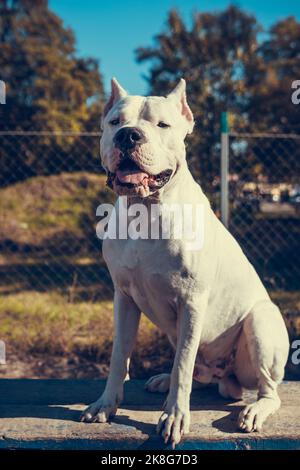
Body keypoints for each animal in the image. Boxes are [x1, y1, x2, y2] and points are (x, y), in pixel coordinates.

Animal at [81, 78, 290, 448]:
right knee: (197, 370)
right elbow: (119, 357)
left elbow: (183, 365)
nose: (129, 136)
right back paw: (165, 380)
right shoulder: (124, 299)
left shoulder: (191, 303)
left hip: (261, 322)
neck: (146, 211)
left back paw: (253, 411)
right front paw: (106, 404)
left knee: (267, 390)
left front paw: (175, 416)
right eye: (115, 122)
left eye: (163, 125)